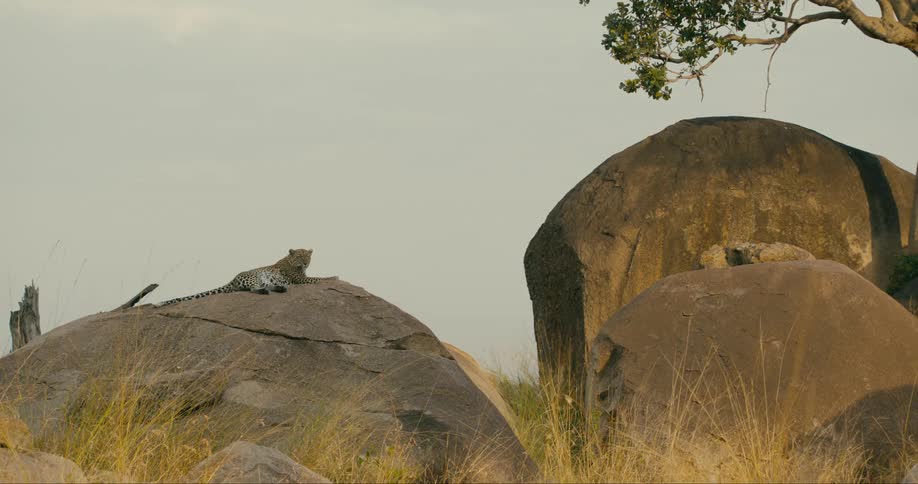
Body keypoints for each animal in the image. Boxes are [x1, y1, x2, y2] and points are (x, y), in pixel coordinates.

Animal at [153, 248, 336, 307]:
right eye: (299, 257)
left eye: (307, 257)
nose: (305, 263)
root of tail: (233, 279)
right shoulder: (299, 278)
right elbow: (317, 278)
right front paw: (333, 277)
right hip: (255, 277)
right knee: (254, 289)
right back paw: (269, 291)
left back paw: (280, 288)